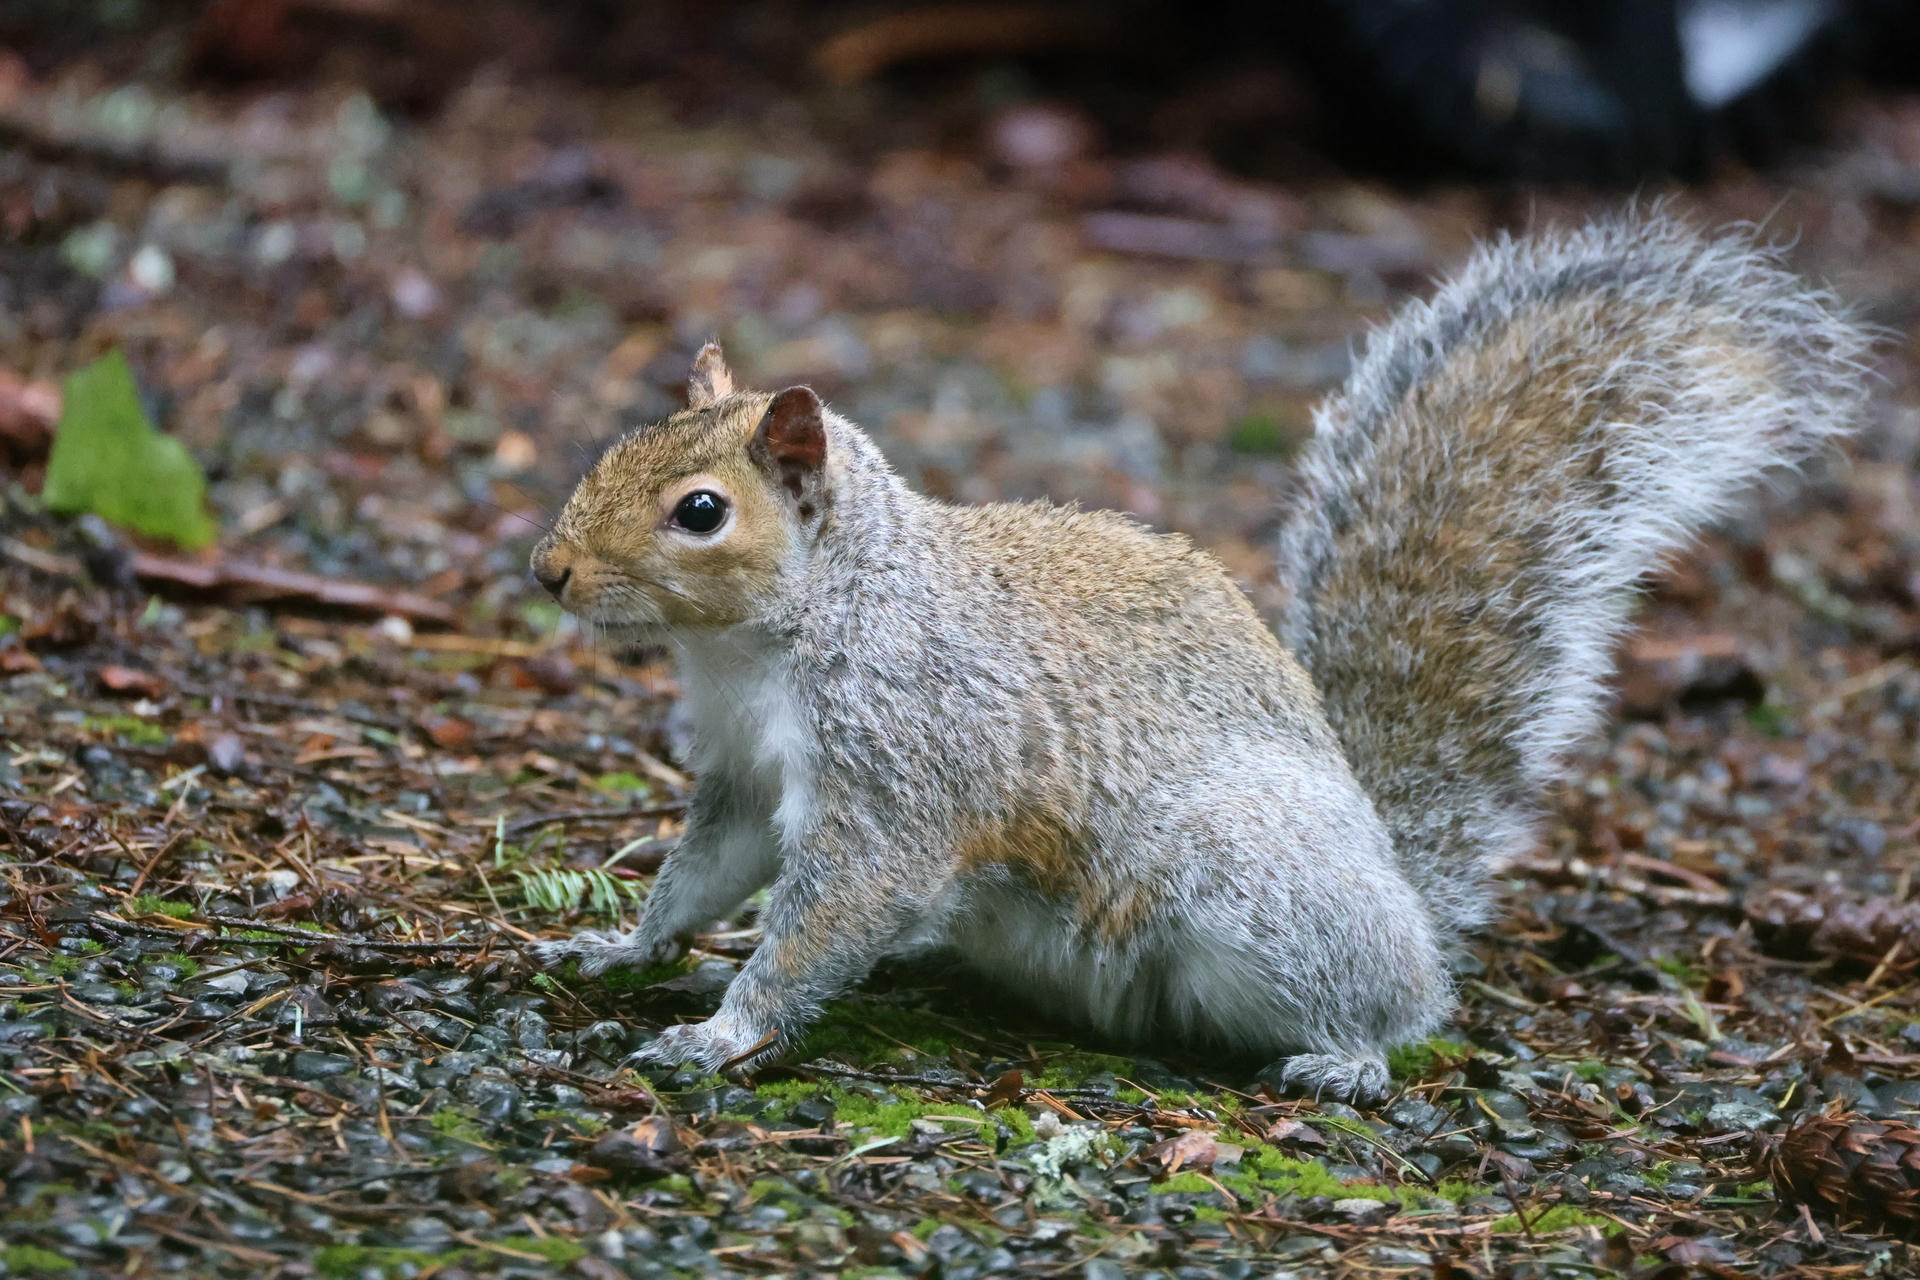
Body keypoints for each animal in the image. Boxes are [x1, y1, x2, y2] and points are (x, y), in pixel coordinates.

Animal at [528, 212, 1867, 1101]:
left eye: (702, 511)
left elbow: (829, 911)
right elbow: (704, 872)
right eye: (623, 440)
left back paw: (1344, 1057)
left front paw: (721, 1029)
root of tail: (1400, 887)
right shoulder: (743, 777)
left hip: (1252, 881)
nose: (549, 568)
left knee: (1388, 1005)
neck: (774, 640)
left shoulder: (901, 765)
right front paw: (620, 947)